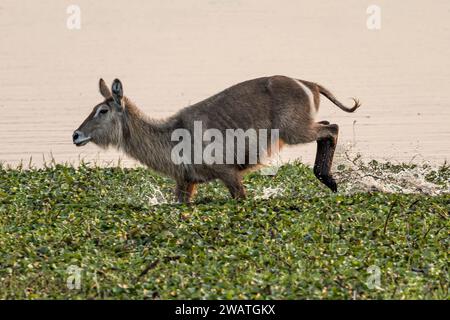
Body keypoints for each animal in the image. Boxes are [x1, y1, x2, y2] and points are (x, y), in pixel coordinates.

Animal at [74, 75, 362, 202]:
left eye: (102, 110)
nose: (76, 135)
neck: (171, 138)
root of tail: (309, 83)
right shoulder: (185, 181)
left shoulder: (228, 172)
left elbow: (241, 198)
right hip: (300, 127)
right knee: (326, 127)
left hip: (293, 131)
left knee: (332, 128)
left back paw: (330, 181)